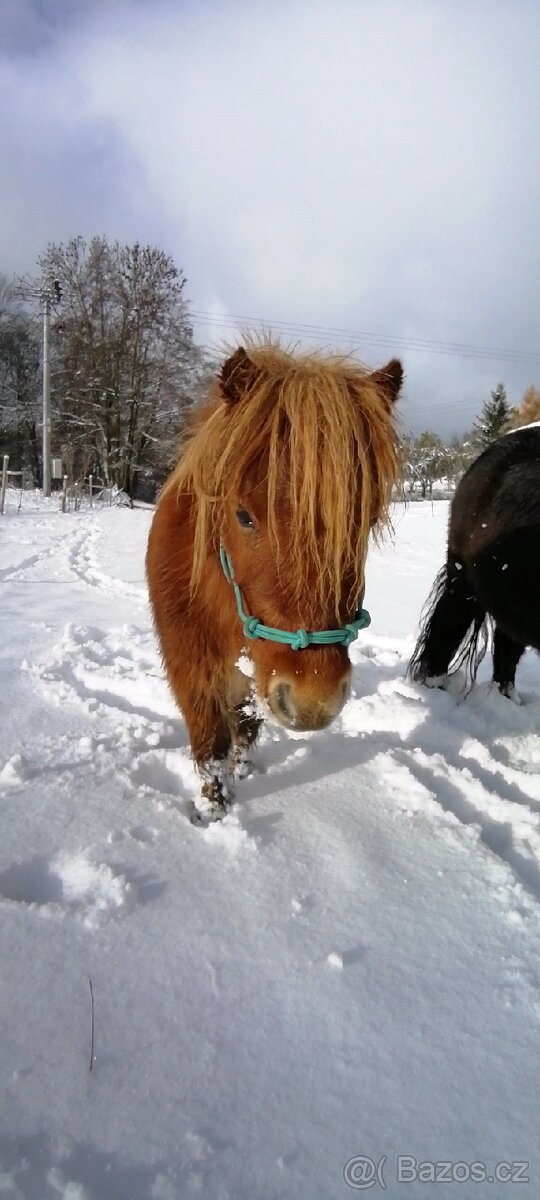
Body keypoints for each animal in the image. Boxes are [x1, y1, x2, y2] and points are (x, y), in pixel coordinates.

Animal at [146, 341, 403, 817]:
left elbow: (246, 730)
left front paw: (242, 777)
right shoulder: (191, 667)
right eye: (244, 516)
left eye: (369, 519)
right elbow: (211, 746)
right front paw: (213, 811)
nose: (314, 701)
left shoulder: (255, 678)